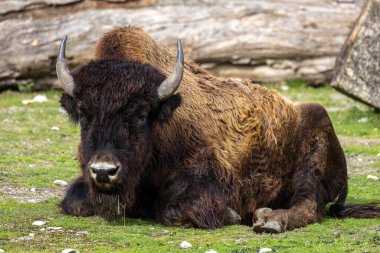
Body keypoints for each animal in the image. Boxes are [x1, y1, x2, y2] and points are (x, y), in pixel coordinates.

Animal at [57, 26, 380, 232]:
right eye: (83, 113)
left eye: (140, 113)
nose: (104, 171)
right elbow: (74, 201)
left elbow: (177, 210)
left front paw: (233, 215)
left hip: (312, 162)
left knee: (308, 205)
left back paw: (269, 221)